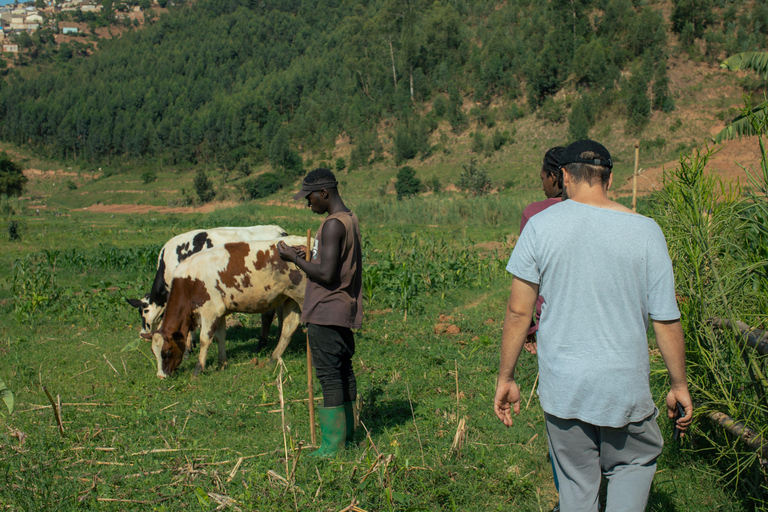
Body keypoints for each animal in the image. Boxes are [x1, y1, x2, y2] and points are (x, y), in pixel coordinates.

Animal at [127, 224, 286, 352]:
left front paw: (189, 347)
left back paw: (261, 344)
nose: (142, 334)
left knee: (268, 314)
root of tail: (280, 231)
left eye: (143, 311)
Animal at [144, 238, 312, 378]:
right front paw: (222, 363)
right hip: (290, 298)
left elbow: (205, 340)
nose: (161, 376)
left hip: (302, 297)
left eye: (167, 352)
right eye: (154, 352)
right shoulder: (221, 313)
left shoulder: (210, 311)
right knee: (288, 329)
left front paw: (198, 369)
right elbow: (220, 337)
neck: (188, 283)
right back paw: (273, 358)